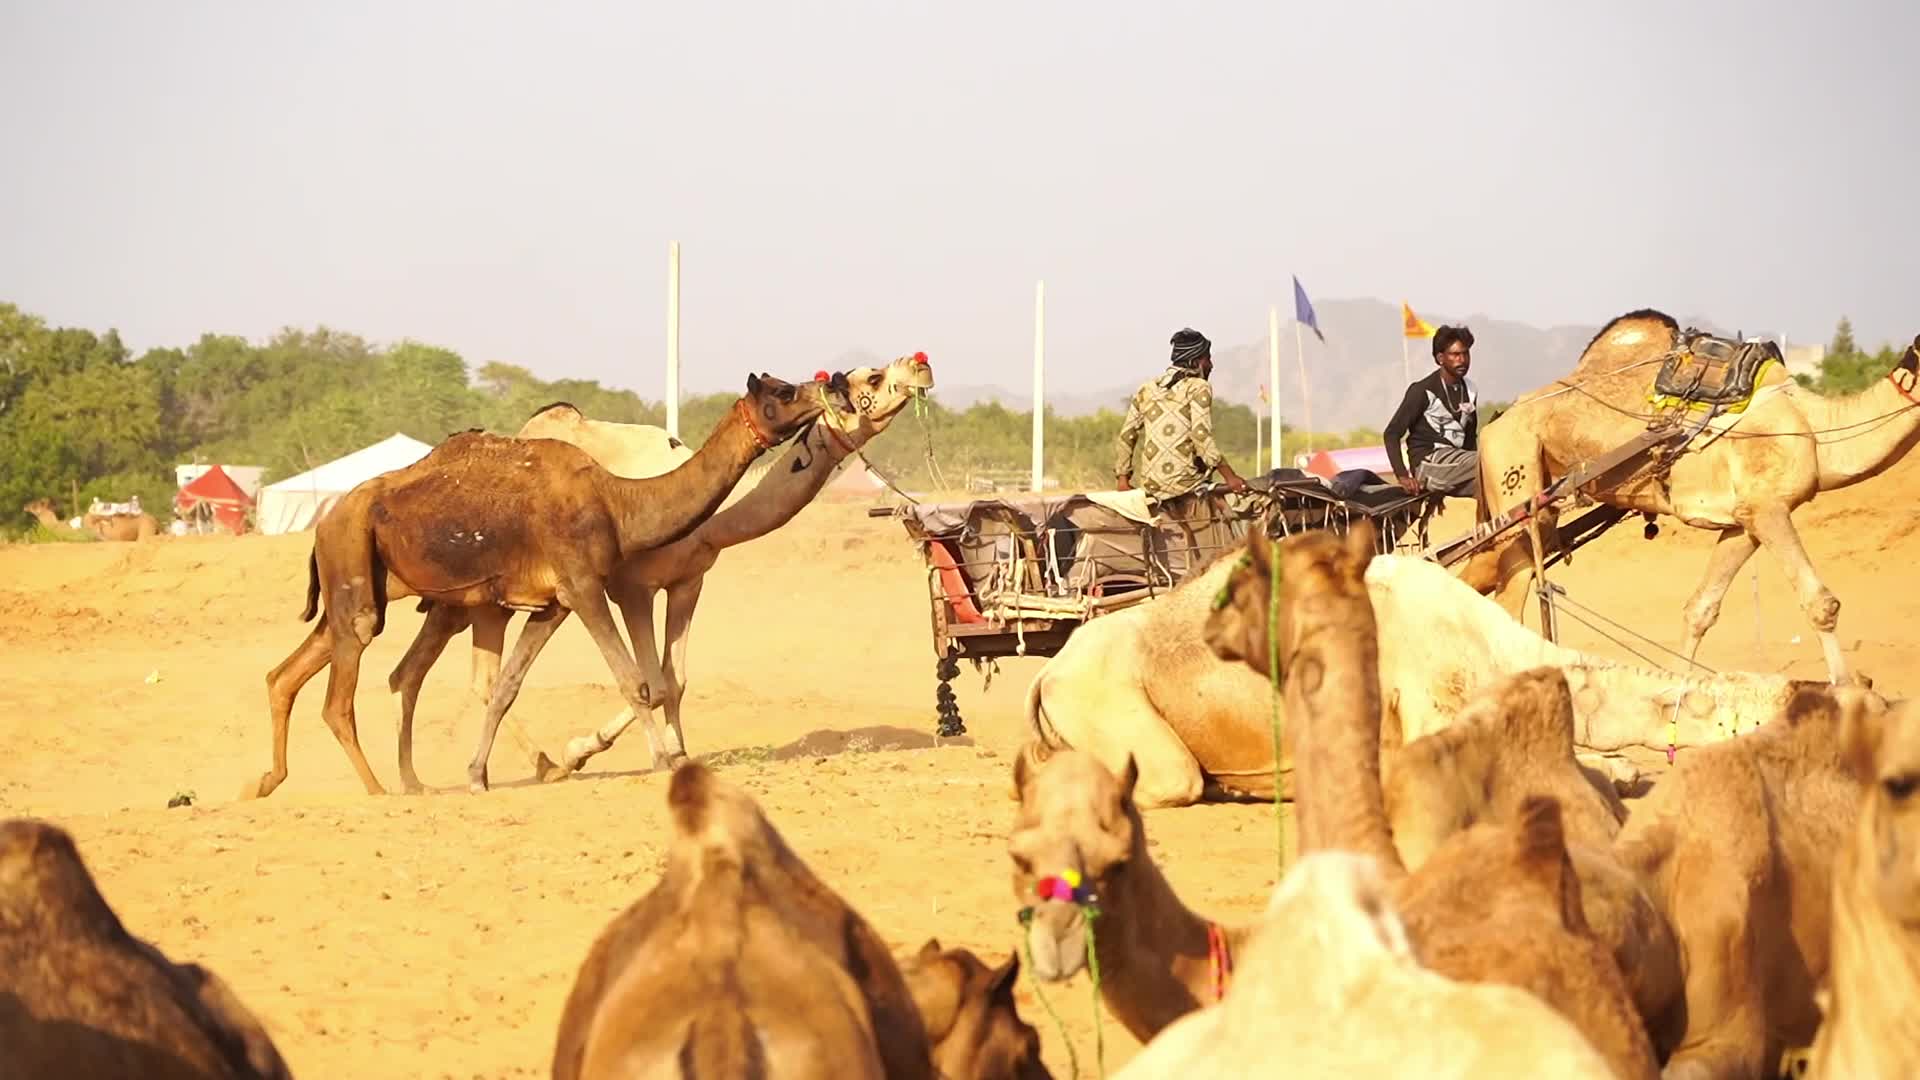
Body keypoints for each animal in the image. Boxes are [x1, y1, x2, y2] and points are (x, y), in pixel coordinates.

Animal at [248, 371, 842, 799]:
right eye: (782, 391)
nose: (829, 386)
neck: (619, 501)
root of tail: (325, 520)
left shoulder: (551, 604)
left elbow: (511, 685)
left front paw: (478, 774)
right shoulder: (588, 586)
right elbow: (637, 681)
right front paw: (661, 759)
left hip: (379, 589)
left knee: (300, 673)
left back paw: (283, 781)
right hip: (358, 569)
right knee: (344, 690)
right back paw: (378, 788)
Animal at [384, 353, 935, 790]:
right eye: (872, 375)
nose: (920, 364)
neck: (708, 520)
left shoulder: (690, 580)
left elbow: (676, 678)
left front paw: (679, 751)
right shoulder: (632, 587)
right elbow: (652, 679)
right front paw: (591, 749)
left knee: (447, 672)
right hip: (470, 595)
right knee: (459, 673)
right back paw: (535, 765)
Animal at [1465, 313, 1920, 686]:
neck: (1813, 428)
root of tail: (1494, 423)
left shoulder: (1743, 520)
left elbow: (1701, 608)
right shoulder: (1769, 509)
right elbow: (1821, 603)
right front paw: (1849, 694)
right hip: (1516, 476)